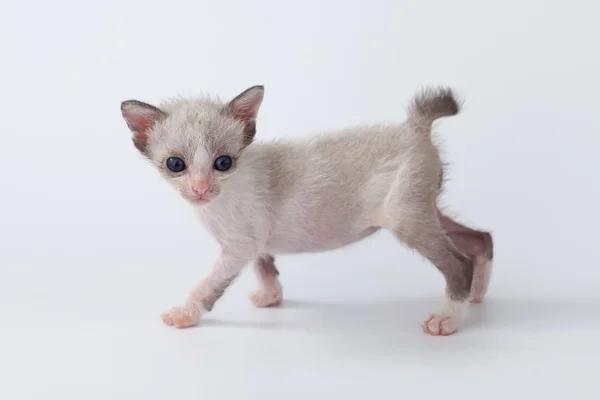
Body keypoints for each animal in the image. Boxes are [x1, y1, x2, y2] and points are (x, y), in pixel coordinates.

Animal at [120, 86, 492, 336]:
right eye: (175, 164)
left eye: (223, 163)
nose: (199, 188)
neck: (218, 201)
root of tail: (414, 128)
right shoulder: (255, 241)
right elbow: (265, 267)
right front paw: (270, 298)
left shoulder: (238, 246)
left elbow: (206, 285)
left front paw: (184, 314)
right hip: (424, 210)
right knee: (481, 239)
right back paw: (476, 296)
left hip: (406, 218)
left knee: (458, 263)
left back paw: (448, 318)